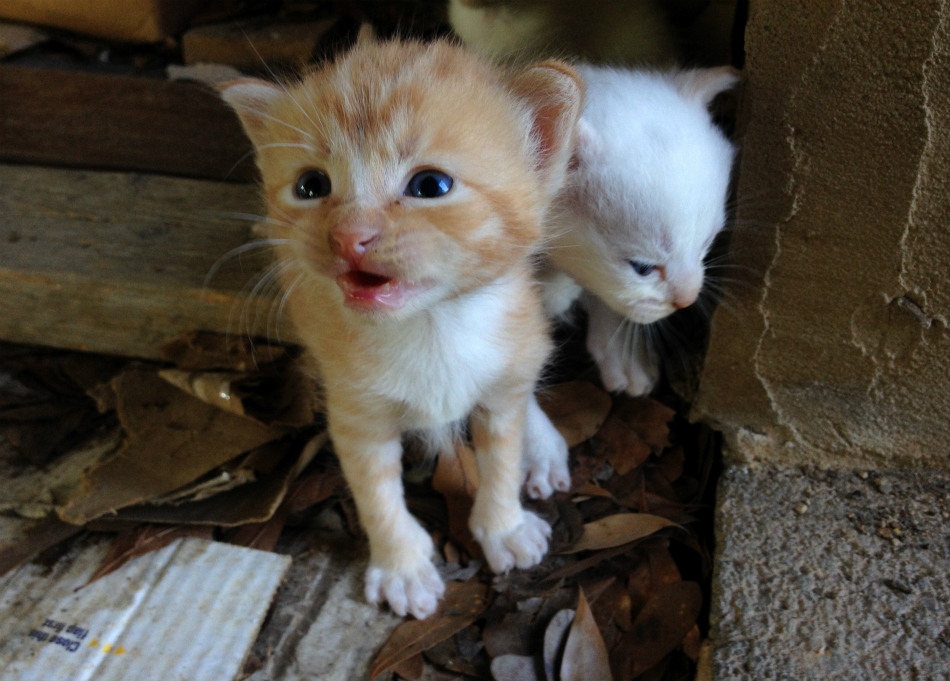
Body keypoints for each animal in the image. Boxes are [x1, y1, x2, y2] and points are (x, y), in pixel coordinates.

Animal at [221, 39, 580, 620]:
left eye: (430, 186)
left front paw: (504, 525)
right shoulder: (355, 411)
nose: (349, 237)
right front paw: (402, 567)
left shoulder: (500, 385)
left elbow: (501, 453)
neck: (430, 326)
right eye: (311, 185)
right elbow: (375, 491)